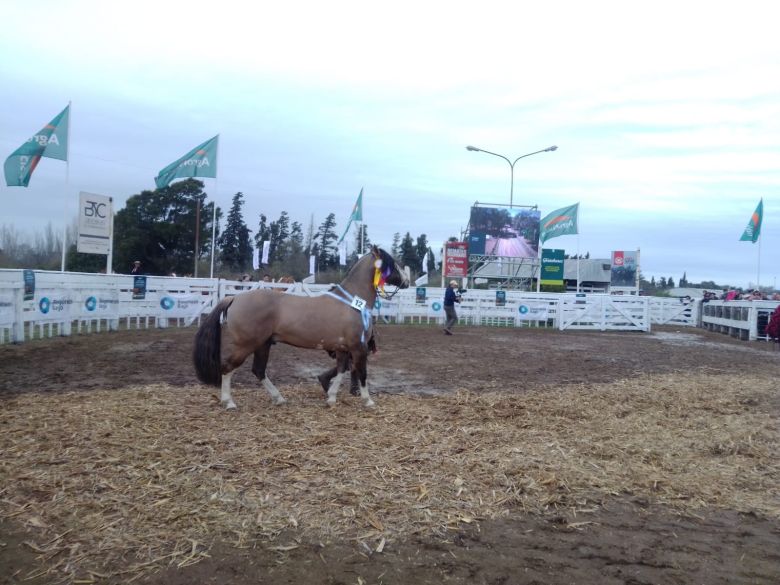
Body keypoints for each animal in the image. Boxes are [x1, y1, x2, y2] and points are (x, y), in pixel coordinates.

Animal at [193, 245, 412, 406]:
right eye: (392, 264)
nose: (407, 281)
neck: (352, 301)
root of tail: (234, 298)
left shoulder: (342, 348)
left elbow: (341, 370)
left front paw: (331, 398)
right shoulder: (358, 347)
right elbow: (361, 372)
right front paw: (368, 401)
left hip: (263, 344)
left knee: (259, 370)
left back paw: (279, 398)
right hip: (246, 344)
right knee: (228, 367)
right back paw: (228, 402)